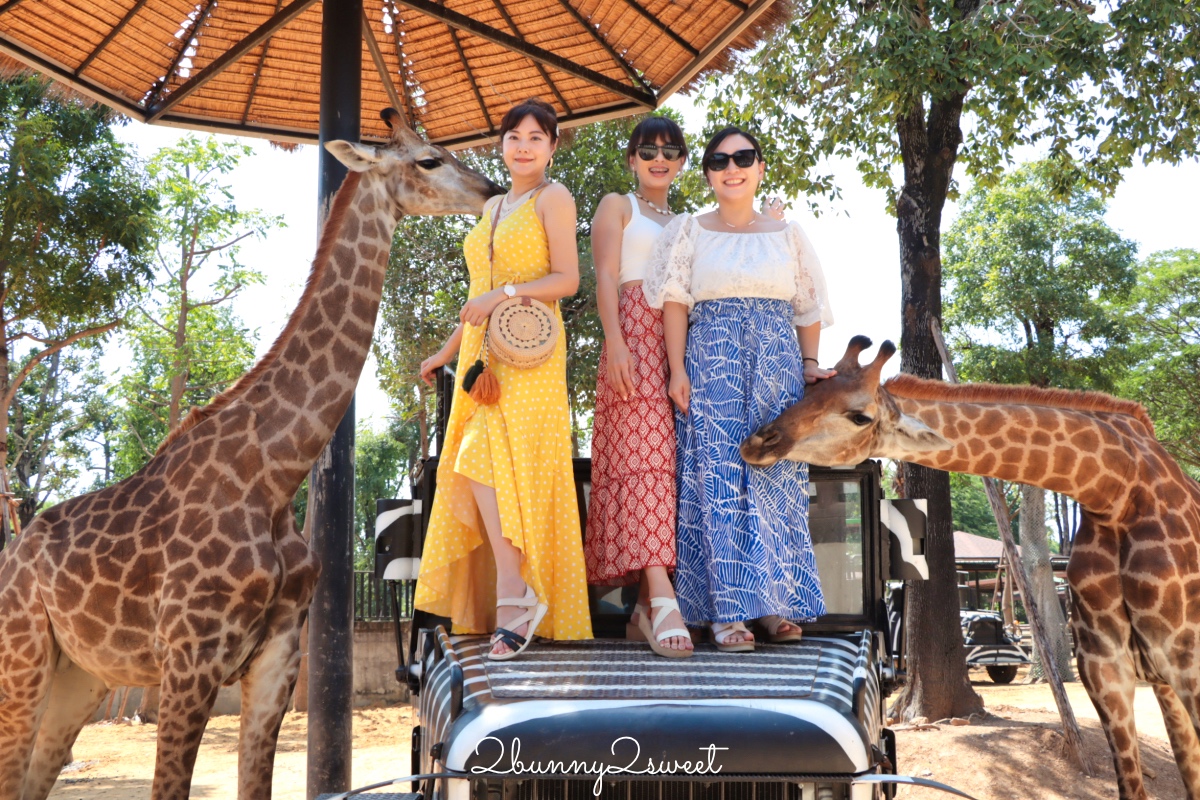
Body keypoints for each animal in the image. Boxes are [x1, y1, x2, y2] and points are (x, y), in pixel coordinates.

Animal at [0, 110, 501, 800]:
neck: (274, 474)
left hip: (81, 675)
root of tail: (12, 553)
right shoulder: (189, 662)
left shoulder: (275, 662)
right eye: (428, 160)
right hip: (22, 658)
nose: (492, 189)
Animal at [739, 335, 1200, 800]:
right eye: (805, 392)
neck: (1115, 490)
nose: (756, 442)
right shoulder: (1105, 670)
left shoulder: (1187, 665)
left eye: (859, 416)